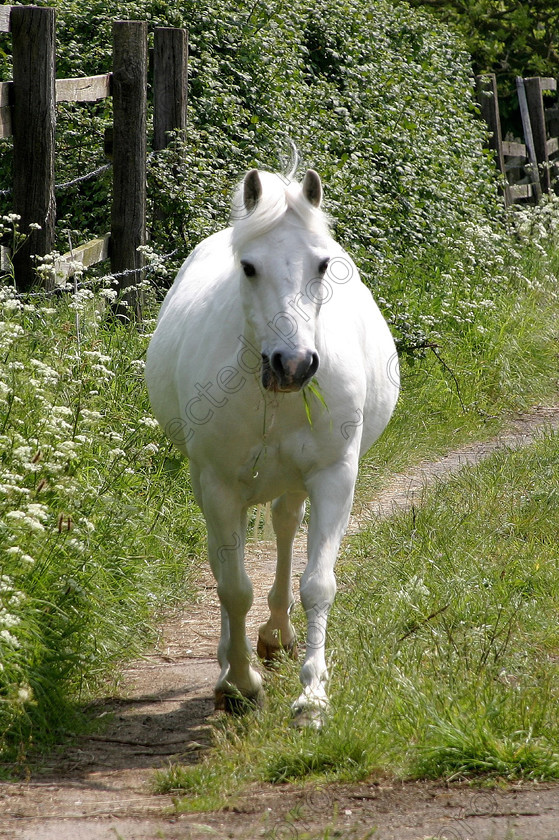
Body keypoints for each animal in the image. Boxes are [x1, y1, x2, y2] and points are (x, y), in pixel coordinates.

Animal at [144, 167, 398, 724]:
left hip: (294, 480)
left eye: (322, 264)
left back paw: (277, 635)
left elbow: (317, 584)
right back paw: (231, 659)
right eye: (248, 267)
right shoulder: (218, 483)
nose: (295, 364)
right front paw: (240, 686)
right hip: (213, 486)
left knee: (284, 528)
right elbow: (233, 587)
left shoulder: (333, 477)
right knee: (226, 558)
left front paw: (313, 696)